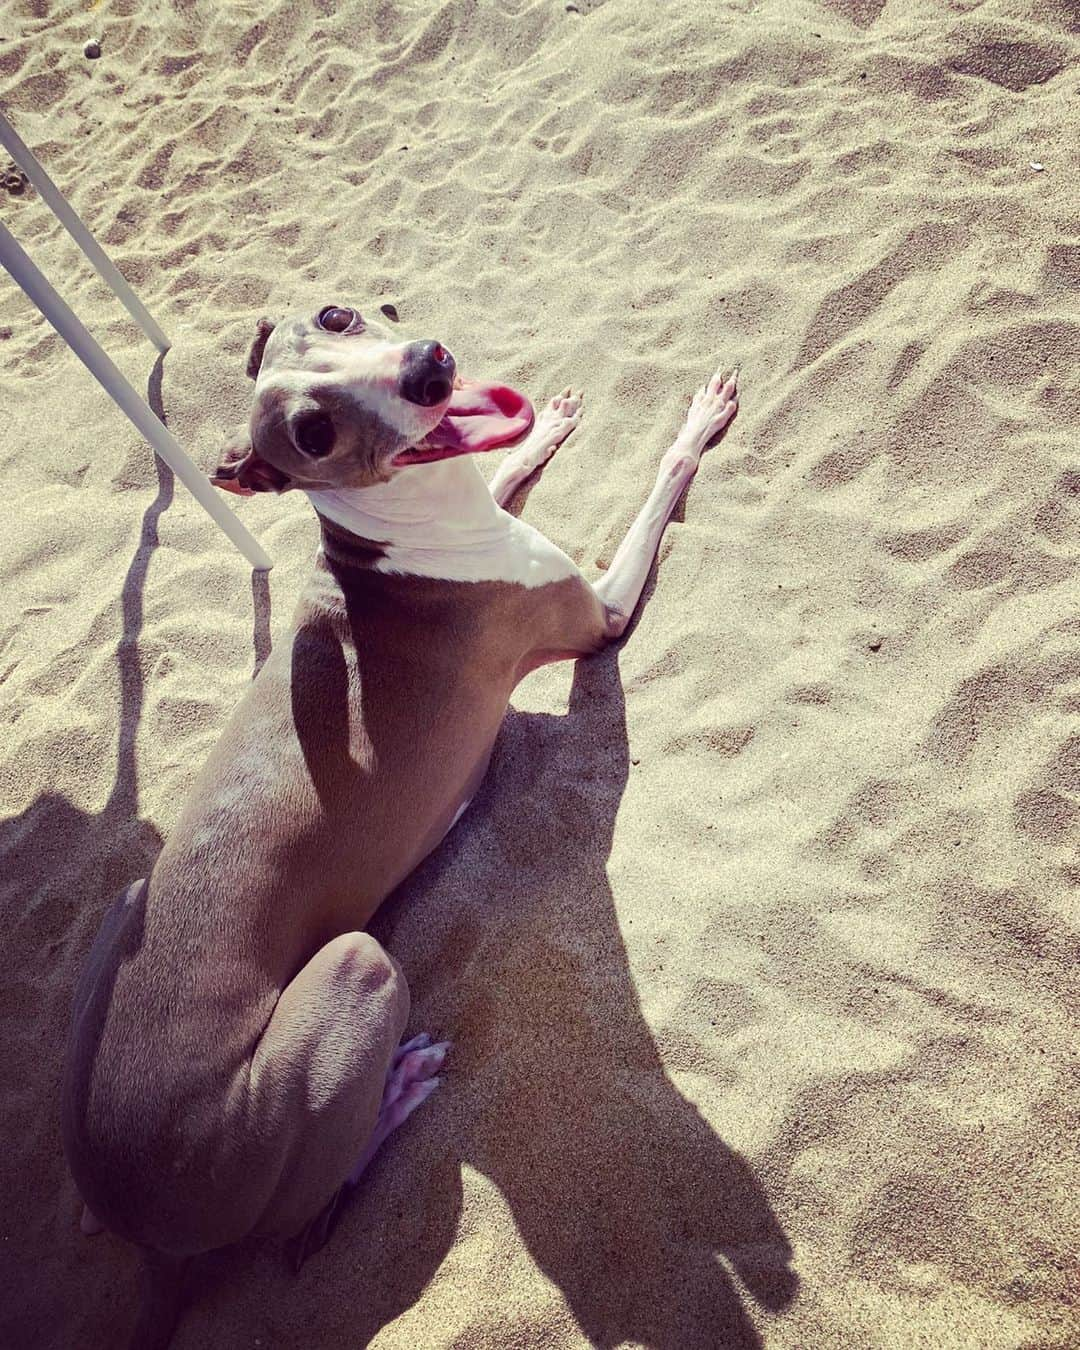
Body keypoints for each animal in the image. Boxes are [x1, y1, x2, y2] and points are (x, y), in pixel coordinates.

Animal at [57, 301, 734, 1344]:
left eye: (335, 315)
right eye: (312, 434)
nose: (428, 368)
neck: (400, 541)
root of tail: (144, 1228)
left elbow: (510, 465)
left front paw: (547, 422)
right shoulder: (600, 615)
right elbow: (659, 485)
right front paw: (697, 422)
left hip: (129, 900)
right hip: (352, 972)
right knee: (313, 1212)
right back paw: (397, 1093)